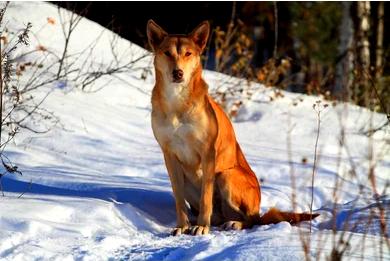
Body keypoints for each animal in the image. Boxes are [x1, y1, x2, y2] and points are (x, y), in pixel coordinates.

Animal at [146, 20, 316, 236]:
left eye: (188, 54)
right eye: (167, 53)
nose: (178, 73)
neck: (177, 102)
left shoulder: (208, 153)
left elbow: (206, 197)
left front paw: (201, 226)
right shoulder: (169, 154)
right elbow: (178, 198)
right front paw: (182, 226)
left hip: (226, 176)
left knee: (252, 219)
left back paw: (233, 223)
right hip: (190, 181)